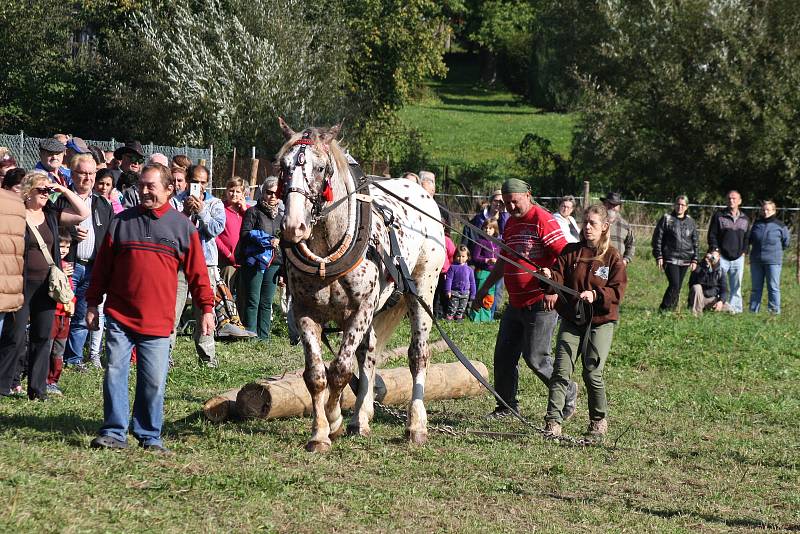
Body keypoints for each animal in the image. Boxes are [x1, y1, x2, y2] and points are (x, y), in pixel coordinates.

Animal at [278, 119, 446, 454]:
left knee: (417, 355)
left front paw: (333, 419)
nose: (292, 227)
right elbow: (316, 374)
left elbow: (340, 370)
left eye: (320, 168)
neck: (327, 251)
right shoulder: (304, 311)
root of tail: (421, 192)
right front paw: (320, 433)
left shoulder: (361, 308)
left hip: (422, 289)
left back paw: (416, 425)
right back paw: (360, 418)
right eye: (283, 166)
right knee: (367, 353)